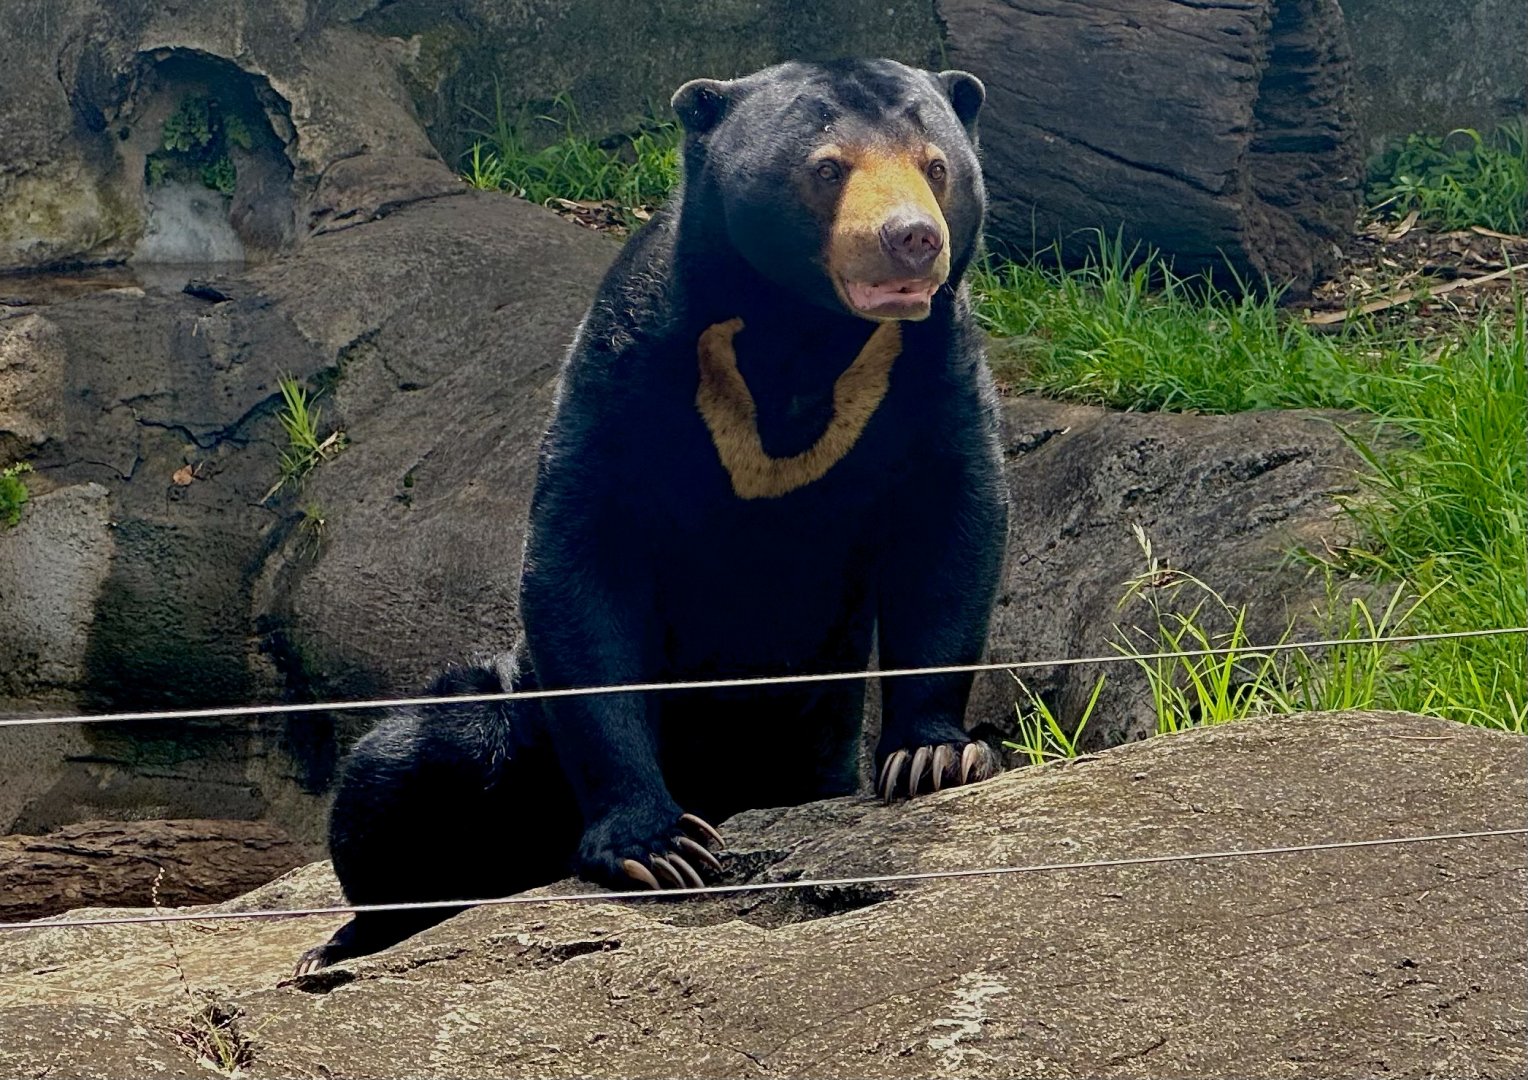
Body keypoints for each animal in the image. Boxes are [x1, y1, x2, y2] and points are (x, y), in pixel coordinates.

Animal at [294, 57, 1009, 975]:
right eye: (826, 168)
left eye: (936, 165)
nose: (913, 238)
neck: (803, 333)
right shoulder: (633, 360)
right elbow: (585, 557)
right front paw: (659, 848)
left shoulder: (930, 364)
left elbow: (950, 528)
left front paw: (934, 757)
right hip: (518, 718)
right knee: (402, 768)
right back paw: (350, 940)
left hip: (805, 754)